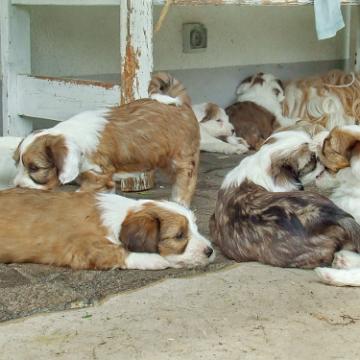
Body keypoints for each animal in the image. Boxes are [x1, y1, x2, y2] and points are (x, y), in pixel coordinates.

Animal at [0, 188, 214, 270]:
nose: (210, 251)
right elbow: (120, 251)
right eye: (179, 235)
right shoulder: (81, 247)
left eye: (196, 227)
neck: (119, 216)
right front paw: (155, 259)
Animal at [13, 72, 200, 207]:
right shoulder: (103, 182)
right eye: (18, 164)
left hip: (182, 159)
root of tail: (179, 102)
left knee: (184, 183)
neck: (74, 137)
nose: (17, 187)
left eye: (35, 168)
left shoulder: (98, 175)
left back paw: (179, 204)